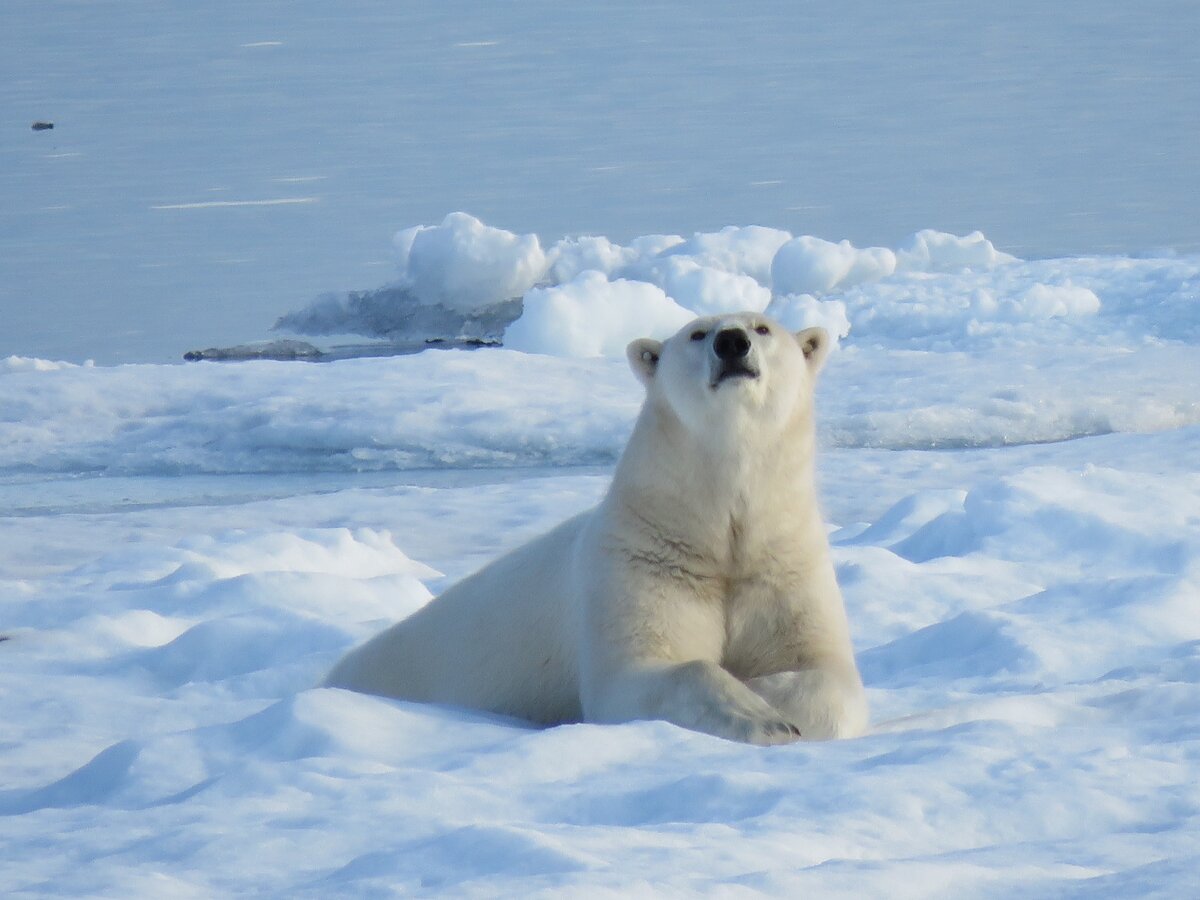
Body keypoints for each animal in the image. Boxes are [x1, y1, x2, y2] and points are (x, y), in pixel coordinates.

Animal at [328, 316, 868, 748]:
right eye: (697, 333)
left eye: (763, 327)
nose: (732, 342)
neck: (711, 534)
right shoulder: (638, 563)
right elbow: (640, 673)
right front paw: (761, 714)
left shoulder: (781, 565)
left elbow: (828, 674)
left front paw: (766, 694)